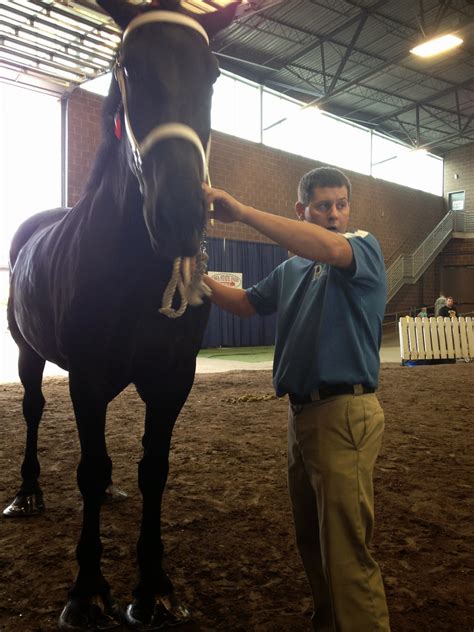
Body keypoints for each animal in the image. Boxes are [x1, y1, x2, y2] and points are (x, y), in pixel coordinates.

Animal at [4, 1, 241, 628]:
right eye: (128, 67)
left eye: (213, 74)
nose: (180, 213)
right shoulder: (85, 378)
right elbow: (87, 470)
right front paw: (87, 591)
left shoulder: (172, 381)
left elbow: (152, 470)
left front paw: (153, 588)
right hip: (29, 354)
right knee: (33, 411)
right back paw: (28, 493)